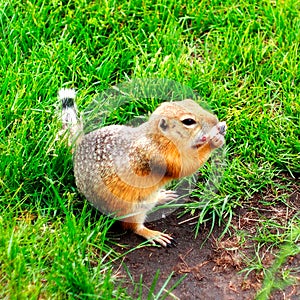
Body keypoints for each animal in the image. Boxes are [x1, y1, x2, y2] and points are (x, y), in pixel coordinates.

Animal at [58, 88, 226, 246]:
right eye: (188, 121)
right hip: (132, 210)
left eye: (191, 102)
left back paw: (163, 196)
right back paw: (154, 235)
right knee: (134, 227)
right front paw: (214, 141)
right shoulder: (160, 157)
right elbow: (186, 166)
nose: (215, 120)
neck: (160, 138)